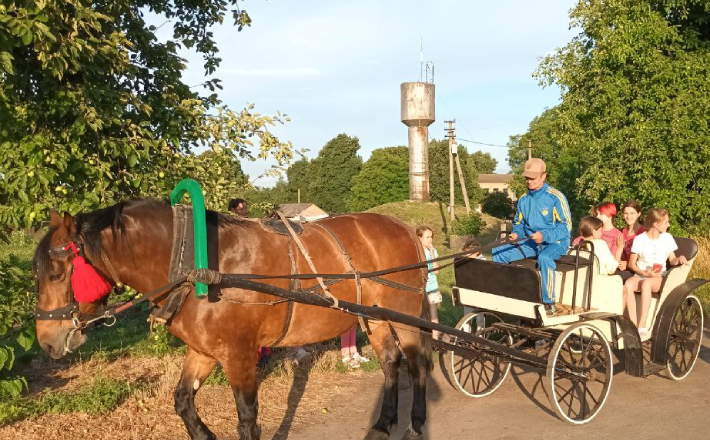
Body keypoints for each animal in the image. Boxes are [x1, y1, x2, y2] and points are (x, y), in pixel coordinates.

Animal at [33, 199, 433, 440]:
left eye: (57, 272)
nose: (47, 342)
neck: (199, 266)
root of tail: (404, 228)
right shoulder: (204, 351)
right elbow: (183, 401)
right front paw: (204, 433)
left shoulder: (239, 355)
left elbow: (247, 418)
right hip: (375, 317)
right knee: (390, 362)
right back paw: (383, 421)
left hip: (404, 313)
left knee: (416, 364)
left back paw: (415, 422)